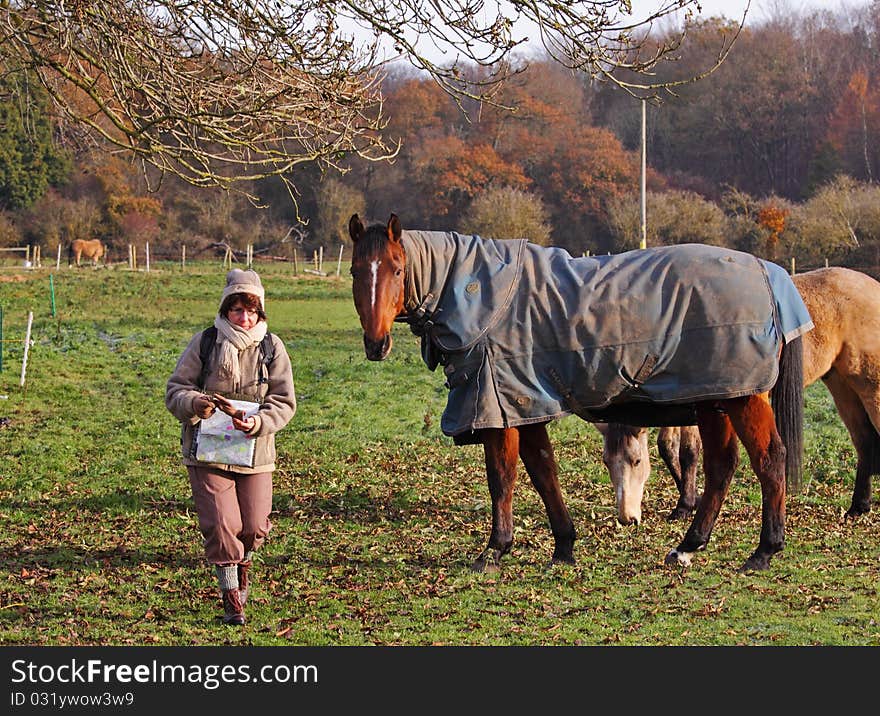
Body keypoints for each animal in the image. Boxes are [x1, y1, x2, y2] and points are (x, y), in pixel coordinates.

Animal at [348, 213, 812, 572]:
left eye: (396, 269)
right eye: (356, 271)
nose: (376, 344)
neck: (481, 294)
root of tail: (767, 272)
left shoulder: (499, 410)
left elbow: (502, 478)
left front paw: (495, 550)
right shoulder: (525, 407)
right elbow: (543, 473)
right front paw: (564, 546)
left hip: (741, 398)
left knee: (769, 460)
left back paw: (764, 550)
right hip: (715, 398)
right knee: (721, 467)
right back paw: (687, 547)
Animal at [600, 266, 880, 524]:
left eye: (636, 461)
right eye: (607, 462)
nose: (627, 518)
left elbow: (688, 452)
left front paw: (686, 505)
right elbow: (667, 448)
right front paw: (691, 499)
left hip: (869, 387)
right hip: (842, 386)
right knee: (864, 441)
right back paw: (859, 506)